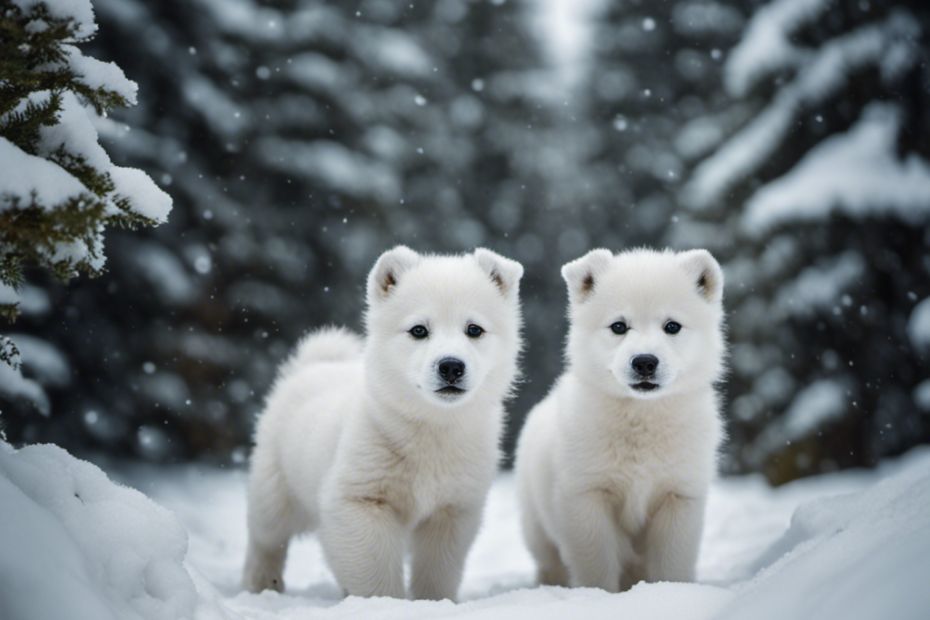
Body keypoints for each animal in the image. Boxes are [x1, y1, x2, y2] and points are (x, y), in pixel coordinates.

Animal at [239, 246, 520, 600]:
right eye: (418, 330)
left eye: (474, 329)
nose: (451, 367)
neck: (430, 430)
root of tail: (313, 364)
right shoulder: (360, 496)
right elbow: (373, 566)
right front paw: (384, 602)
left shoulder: (454, 505)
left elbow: (439, 566)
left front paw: (433, 601)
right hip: (275, 483)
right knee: (266, 537)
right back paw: (261, 585)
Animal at [516, 249, 724, 592]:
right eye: (618, 326)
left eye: (672, 326)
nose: (645, 362)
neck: (641, 419)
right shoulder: (586, 492)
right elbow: (596, 560)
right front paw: (597, 595)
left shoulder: (679, 493)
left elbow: (672, 559)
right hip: (537, 525)